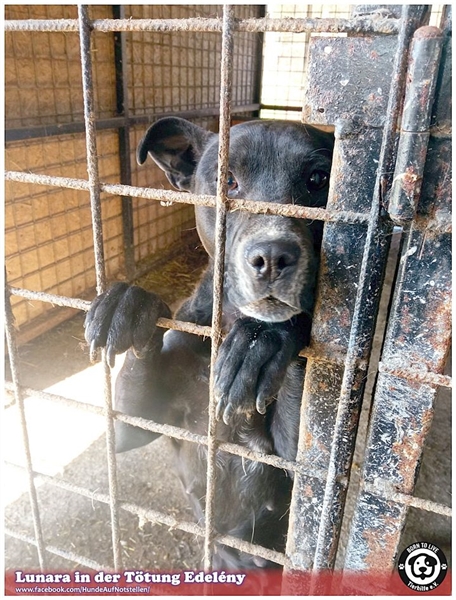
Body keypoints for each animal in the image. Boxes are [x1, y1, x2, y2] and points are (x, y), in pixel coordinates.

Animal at [85, 117, 334, 569]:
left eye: (318, 179)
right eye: (226, 180)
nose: (274, 255)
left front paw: (263, 341)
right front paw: (128, 303)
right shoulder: (130, 428)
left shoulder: (296, 464)